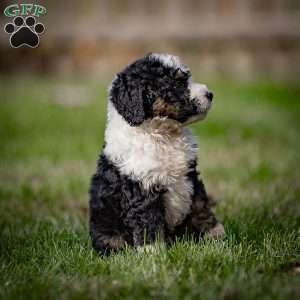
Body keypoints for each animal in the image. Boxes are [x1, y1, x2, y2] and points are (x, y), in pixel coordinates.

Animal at [89, 52, 225, 254]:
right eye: (177, 83)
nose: (210, 94)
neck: (163, 134)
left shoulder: (191, 175)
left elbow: (201, 206)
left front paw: (214, 234)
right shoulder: (141, 186)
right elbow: (149, 221)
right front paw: (152, 252)